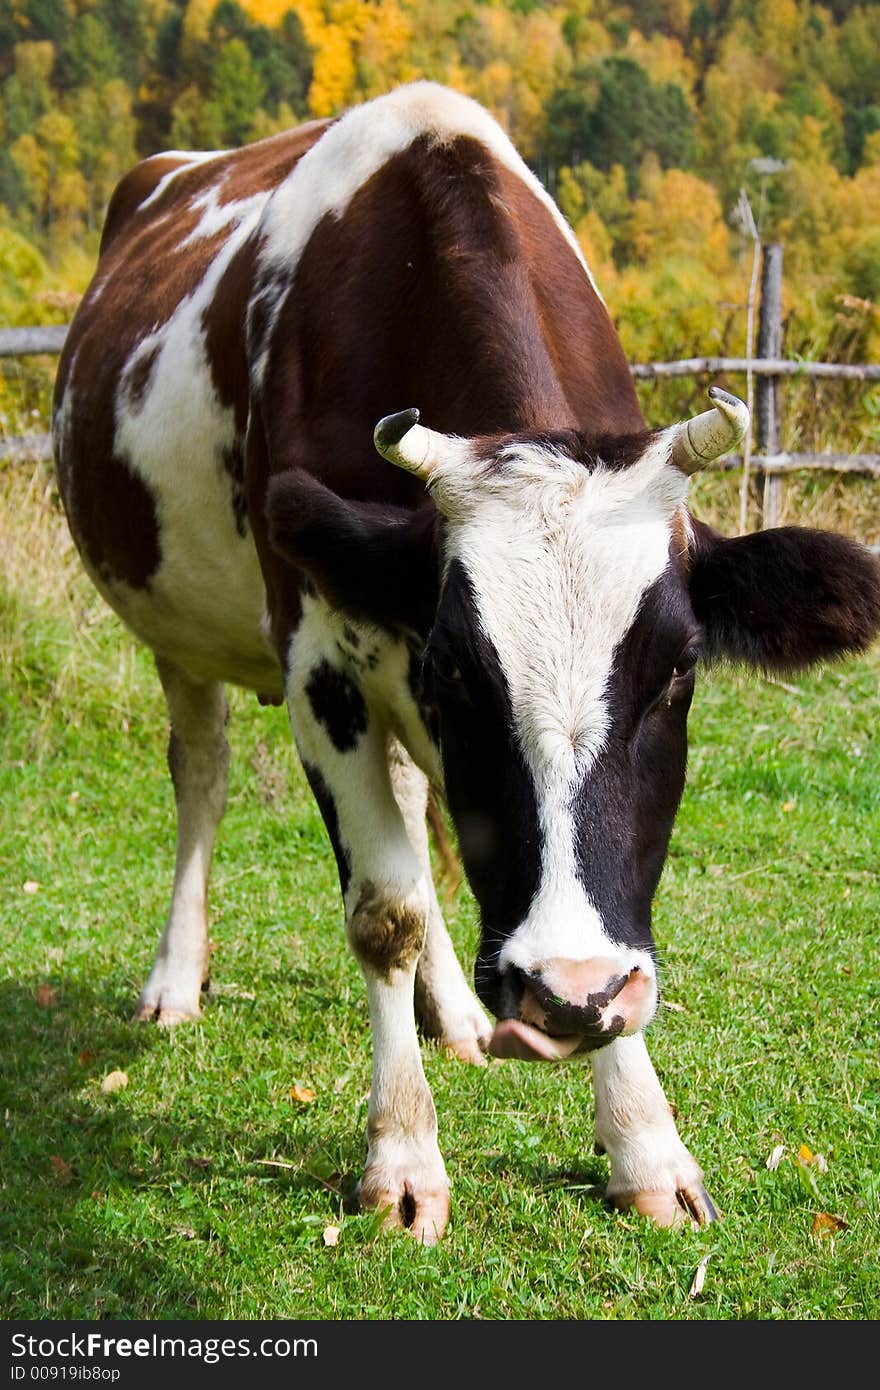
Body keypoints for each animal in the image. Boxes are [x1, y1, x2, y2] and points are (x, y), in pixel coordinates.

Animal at [54, 81, 878, 1245]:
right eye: (458, 671)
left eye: (680, 671)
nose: (567, 994)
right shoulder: (323, 664)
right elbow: (385, 909)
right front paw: (402, 1155)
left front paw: (645, 1142)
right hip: (180, 637)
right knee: (202, 778)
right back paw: (176, 979)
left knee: (405, 798)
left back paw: (448, 1010)